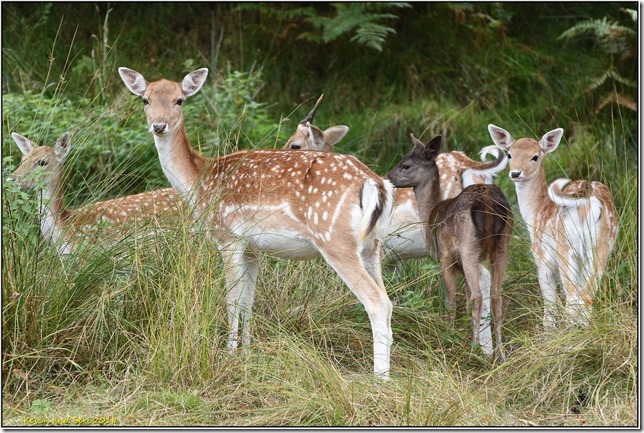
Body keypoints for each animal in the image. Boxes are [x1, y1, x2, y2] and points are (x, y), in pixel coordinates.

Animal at [118, 65, 394, 378]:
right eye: (145, 100)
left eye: (180, 100)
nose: (159, 125)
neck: (200, 181)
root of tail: (376, 184)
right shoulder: (253, 248)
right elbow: (248, 301)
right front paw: (248, 354)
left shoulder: (228, 237)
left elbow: (231, 300)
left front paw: (229, 355)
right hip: (373, 245)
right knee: (389, 301)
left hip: (335, 240)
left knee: (377, 302)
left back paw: (379, 379)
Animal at [382, 132, 512, 362]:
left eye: (405, 165)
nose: (387, 178)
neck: (431, 213)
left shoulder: (444, 257)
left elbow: (451, 300)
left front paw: (450, 335)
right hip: (502, 244)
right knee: (496, 294)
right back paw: (500, 354)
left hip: (469, 246)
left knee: (479, 294)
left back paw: (474, 349)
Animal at [488, 125, 620, 328]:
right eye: (509, 154)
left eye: (535, 156)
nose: (515, 173)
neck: (536, 211)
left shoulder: (542, 257)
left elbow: (549, 304)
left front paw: (548, 330)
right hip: (602, 246)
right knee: (587, 295)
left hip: (565, 246)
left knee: (573, 297)